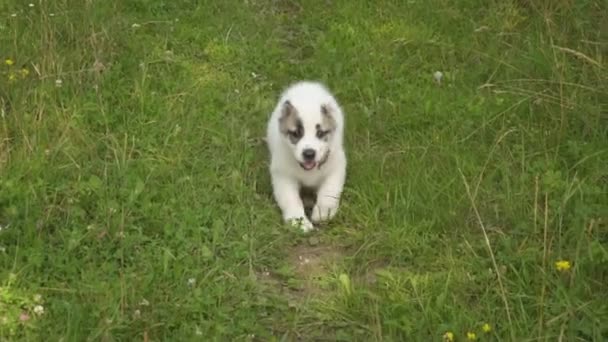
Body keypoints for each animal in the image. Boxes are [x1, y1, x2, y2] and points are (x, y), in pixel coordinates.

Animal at [266, 81, 346, 232]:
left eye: (320, 133)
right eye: (296, 133)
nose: (309, 153)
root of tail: (307, 85)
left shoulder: (337, 167)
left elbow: (329, 192)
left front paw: (322, 213)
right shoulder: (283, 175)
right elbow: (291, 199)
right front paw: (299, 222)